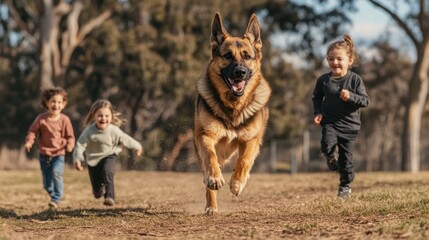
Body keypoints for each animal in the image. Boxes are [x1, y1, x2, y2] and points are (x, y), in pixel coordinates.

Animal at [194, 12, 270, 214]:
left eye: (247, 56)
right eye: (227, 56)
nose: (240, 72)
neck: (233, 106)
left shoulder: (252, 140)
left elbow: (244, 160)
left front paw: (237, 183)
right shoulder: (205, 136)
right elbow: (210, 157)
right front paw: (214, 178)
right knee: (208, 171)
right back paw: (211, 203)